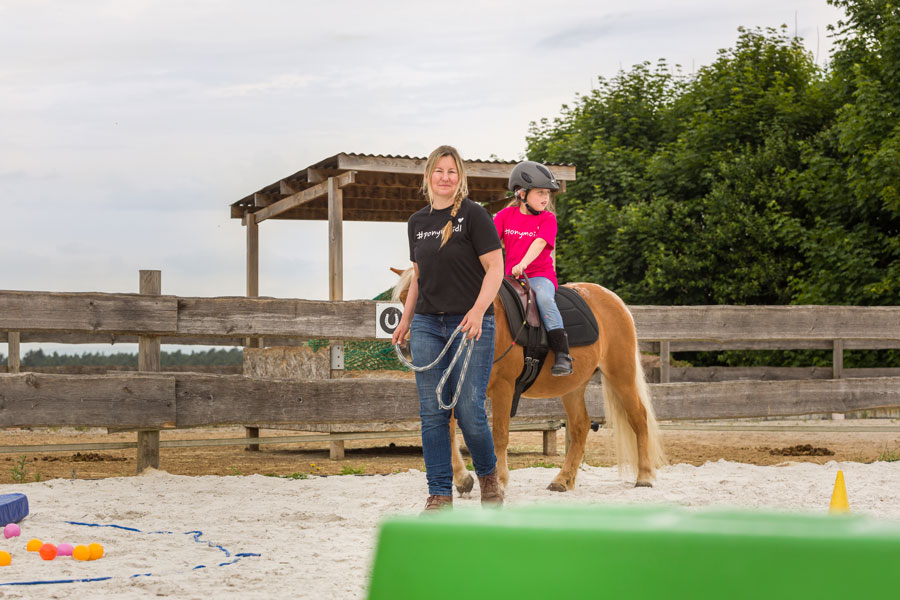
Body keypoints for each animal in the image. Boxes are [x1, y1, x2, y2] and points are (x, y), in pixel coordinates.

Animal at [390, 268, 664, 492]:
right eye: (404, 299)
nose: (407, 346)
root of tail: (613, 300)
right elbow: (448, 429)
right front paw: (463, 479)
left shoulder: (504, 388)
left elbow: (499, 434)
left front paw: (499, 480)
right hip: (573, 387)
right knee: (580, 426)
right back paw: (563, 480)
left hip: (621, 375)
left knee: (639, 418)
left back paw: (644, 477)